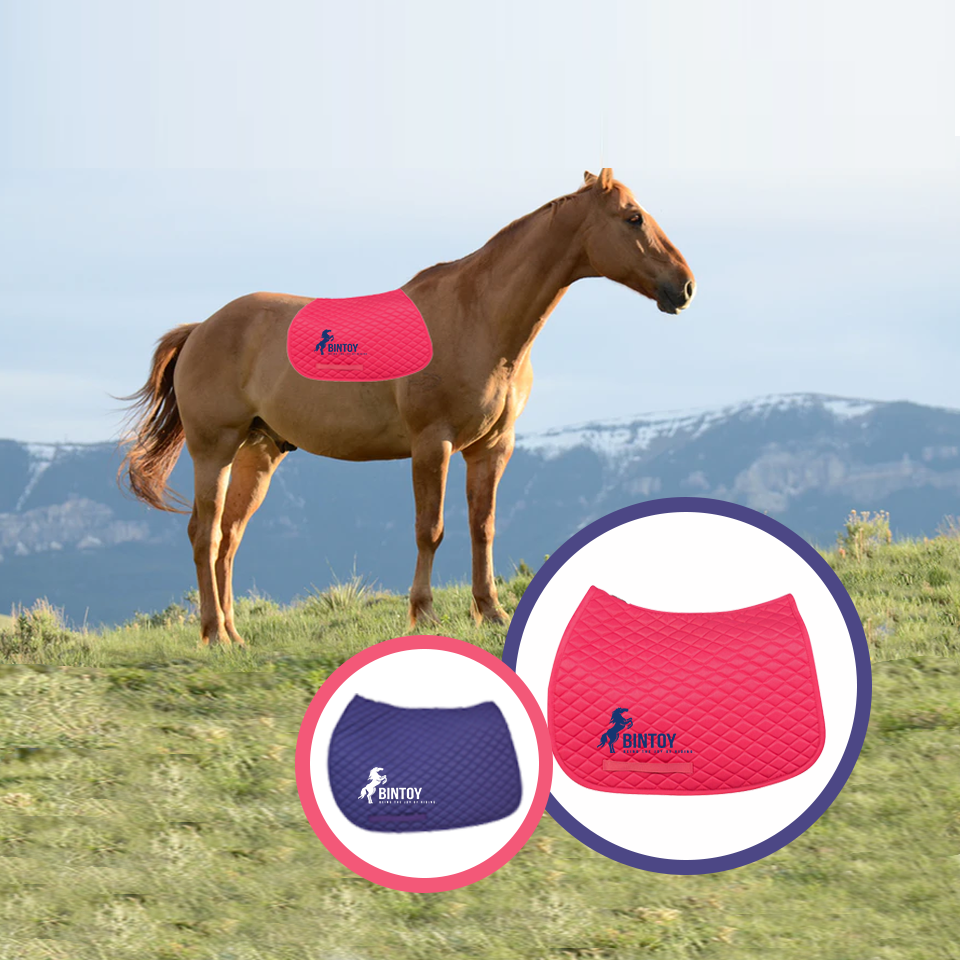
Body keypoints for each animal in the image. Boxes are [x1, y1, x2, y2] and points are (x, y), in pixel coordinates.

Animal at [120, 168, 695, 646]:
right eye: (633, 217)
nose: (684, 286)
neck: (478, 316)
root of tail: (202, 328)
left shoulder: (492, 448)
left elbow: (482, 526)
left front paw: (490, 612)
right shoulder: (431, 444)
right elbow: (430, 529)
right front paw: (424, 614)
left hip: (257, 453)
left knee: (229, 538)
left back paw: (234, 635)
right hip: (213, 450)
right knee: (205, 533)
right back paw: (214, 634)